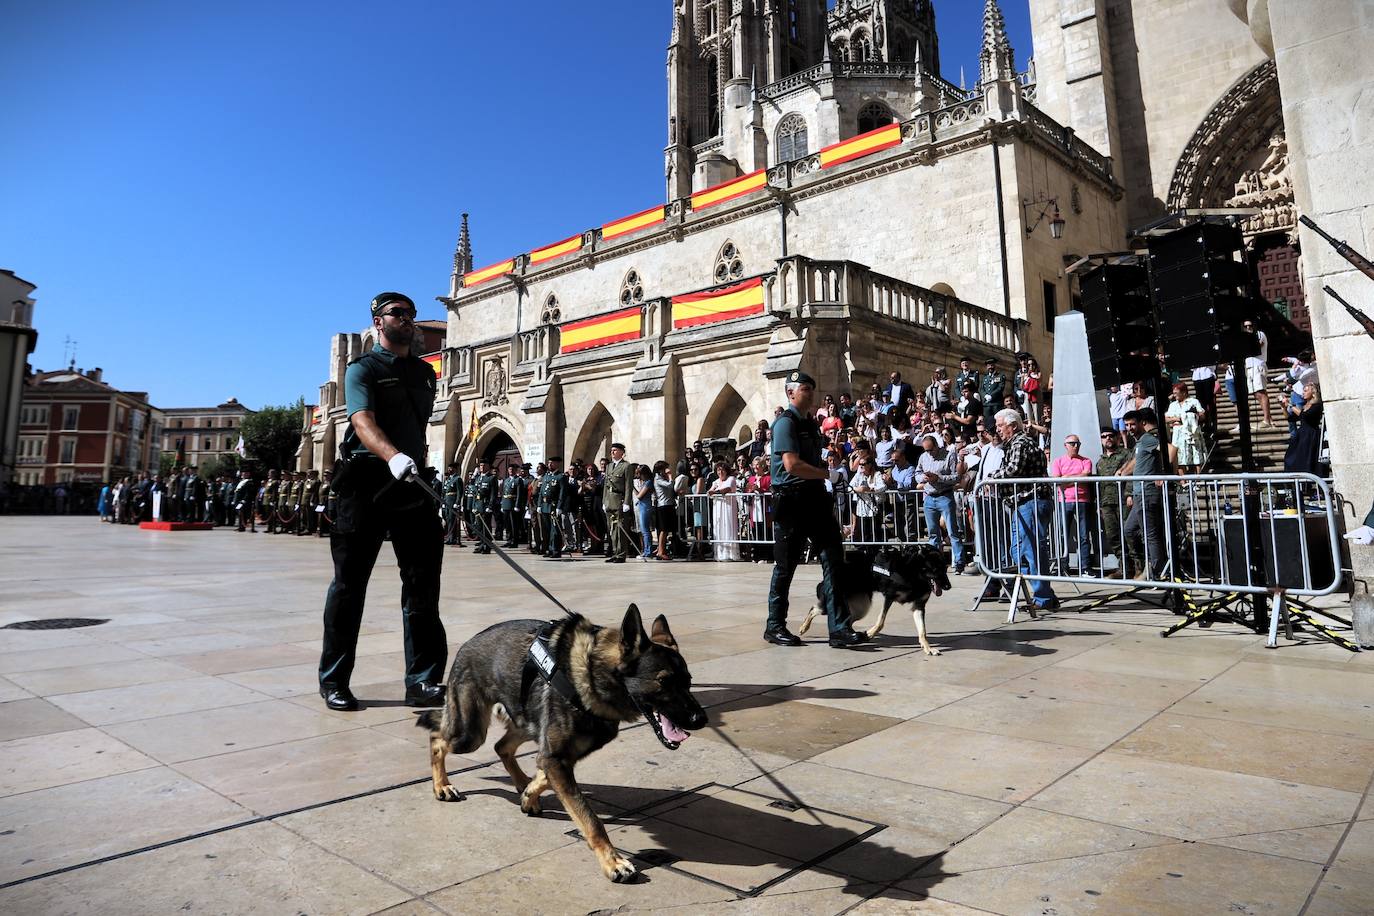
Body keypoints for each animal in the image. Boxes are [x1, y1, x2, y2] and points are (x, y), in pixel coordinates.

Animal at [412, 604, 703, 884]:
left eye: (688, 682)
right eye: (663, 681)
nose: (701, 719)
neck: (593, 672)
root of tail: (466, 643)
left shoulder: (558, 756)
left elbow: (544, 774)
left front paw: (529, 794)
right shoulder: (557, 758)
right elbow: (590, 819)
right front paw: (612, 862)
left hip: (524, 722)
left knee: (501, 747)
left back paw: (520, 782)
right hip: (470, 734)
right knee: (437, 739)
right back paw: (442, 786)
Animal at [802, 543, 950, 650]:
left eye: (945, 568)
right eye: (936, 569)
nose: (948, 586)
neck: (914, 571)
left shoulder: (918, 606)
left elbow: (922, 630)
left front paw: (927, 647)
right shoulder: (889, 597)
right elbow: (880, 622)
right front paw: (870, 633)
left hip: (862, 607)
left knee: (848, 619)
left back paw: (849, 636)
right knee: (815, 609)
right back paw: (804, 627)